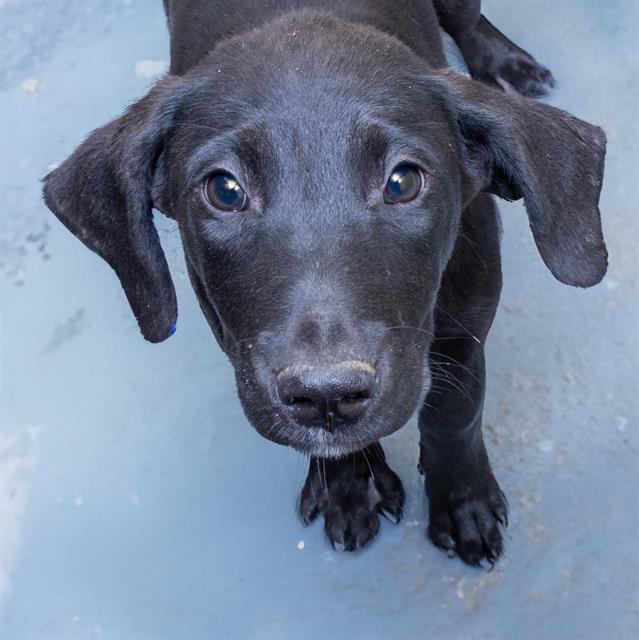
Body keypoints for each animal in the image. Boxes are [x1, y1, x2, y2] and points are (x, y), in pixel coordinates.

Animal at [43, 2, 604, 568]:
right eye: (225, 190)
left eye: (403, 181)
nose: (327, 394)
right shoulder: (233, 338)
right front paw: (348, 489)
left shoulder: (464, 327)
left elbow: (455, 414)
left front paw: (463, 505)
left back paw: (507, 64)